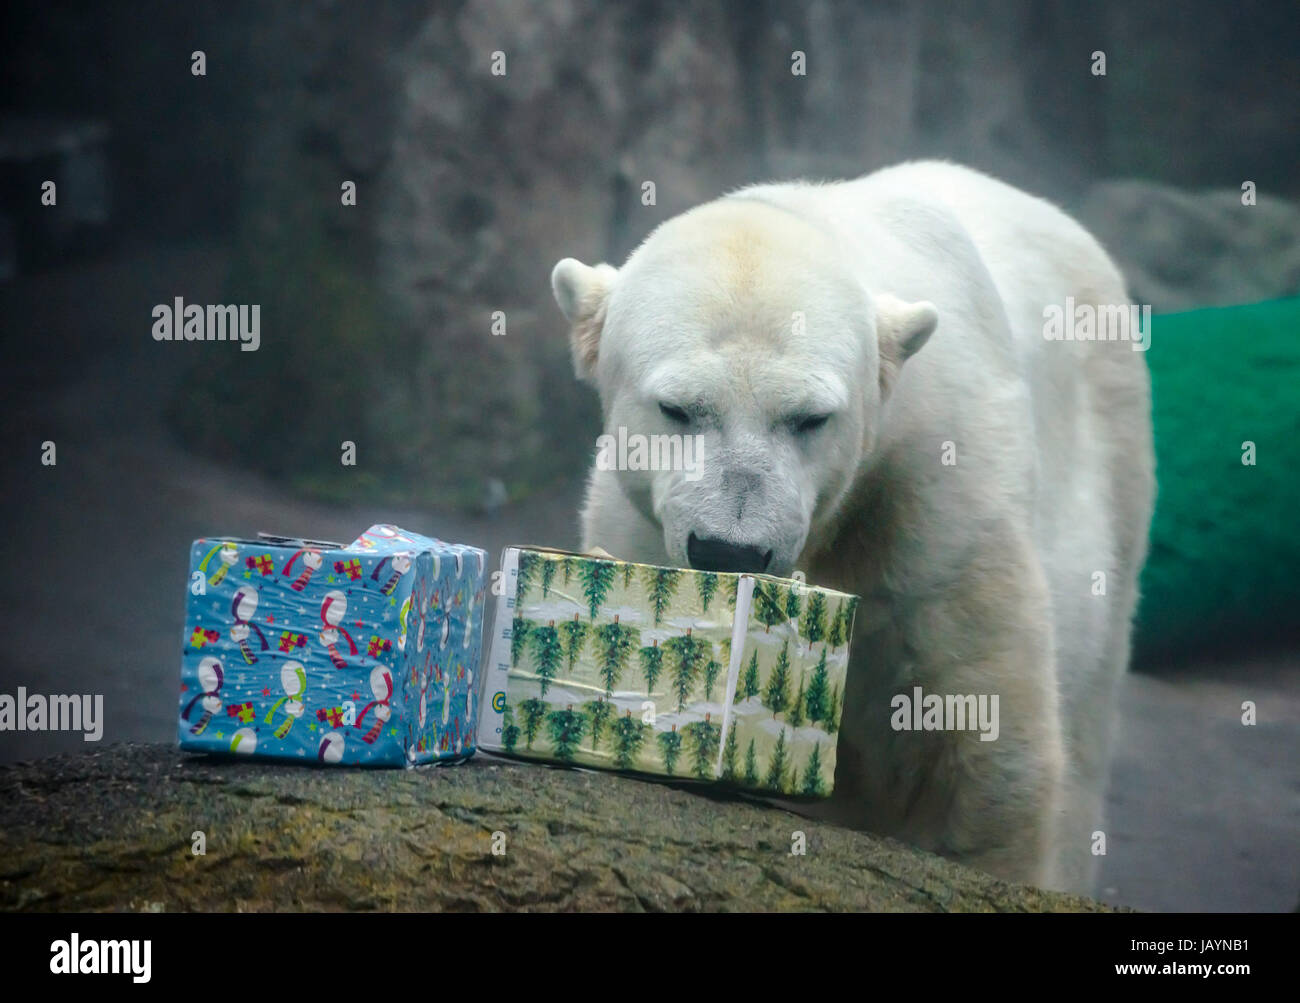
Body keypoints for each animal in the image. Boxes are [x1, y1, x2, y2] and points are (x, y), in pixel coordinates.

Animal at [548, 158, 1149, 893]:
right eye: (677, 408)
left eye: (810, 418)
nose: (729, 549)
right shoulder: (641, 521)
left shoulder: (935, 488)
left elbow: (983, 732)